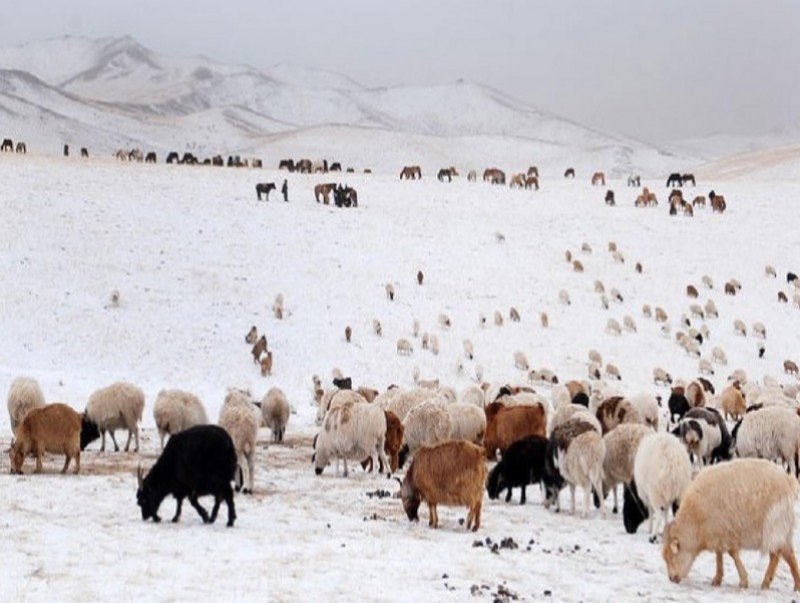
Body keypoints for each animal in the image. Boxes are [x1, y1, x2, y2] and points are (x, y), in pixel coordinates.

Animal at [664, 460, 800, 592]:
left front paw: (743, 580)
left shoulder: (727, 533)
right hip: (782, 530)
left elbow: (732, 554)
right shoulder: (717, 534)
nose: (671, 578)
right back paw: (795, 585)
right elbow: (719, 555)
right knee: (788, 555)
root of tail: (788, 480)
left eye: (672, 556)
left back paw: (767, 582)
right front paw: (717, 578)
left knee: (776, 554)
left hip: (773, 526)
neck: (695, 523)